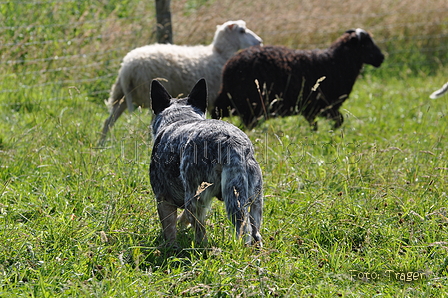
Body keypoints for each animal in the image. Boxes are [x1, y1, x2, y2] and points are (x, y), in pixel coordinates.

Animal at [97, 20, 260, 144]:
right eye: (242, 31)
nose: (259, 41)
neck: (219, 53)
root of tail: (127, 67)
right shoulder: (213, 99)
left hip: (121, 96)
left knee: (108, 122)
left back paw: (101, 145)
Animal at [150, 78, 262, 247]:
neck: (181, 118)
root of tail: (231, 143)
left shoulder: (163, 199)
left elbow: (169, 230)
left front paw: (170, 248)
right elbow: (181, 220)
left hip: (195, 200)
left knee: (202, 236)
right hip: (254, 200)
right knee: (255, 233)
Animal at [213, 28, 384, 130]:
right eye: (366, 44)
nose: (381, 58)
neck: (335, 63)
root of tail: (230, 66)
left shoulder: (314, 109)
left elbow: (320, 124)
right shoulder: (322, 106)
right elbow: (336, 120)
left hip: (234, 101)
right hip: (251, 106)